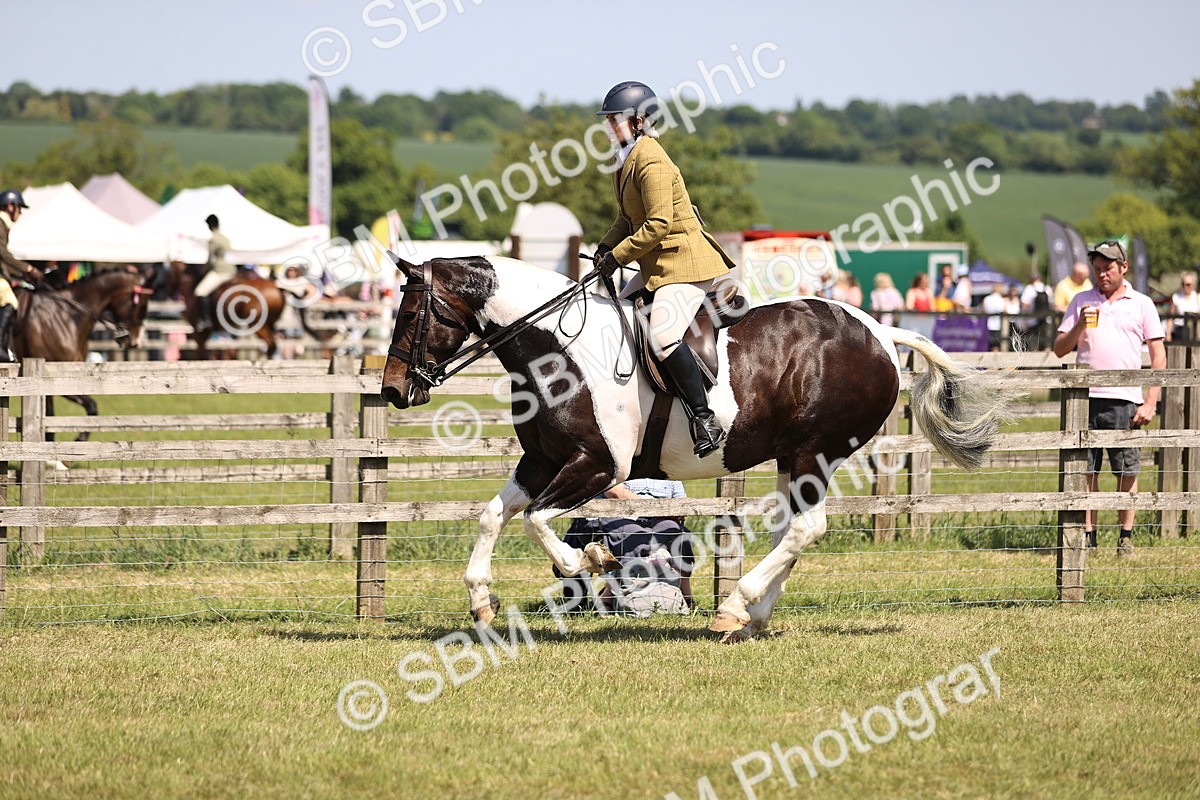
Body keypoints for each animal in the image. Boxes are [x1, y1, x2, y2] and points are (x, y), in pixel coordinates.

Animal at [13, 267, 154, 442]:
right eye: (140, 303)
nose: (135, 341)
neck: (65, 318)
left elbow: (90, 407)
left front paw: (79, 439)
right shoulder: (52, 381)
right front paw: (77, 439)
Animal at [167, 262, 332, 359]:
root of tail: (277, 287)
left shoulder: (199, 331)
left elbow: (201, 353)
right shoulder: (204, 333)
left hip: (258, 325)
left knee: (271, 344)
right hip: (270, 323)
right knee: (272, 345)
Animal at [380, 255, 1011, 641]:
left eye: (410, 314)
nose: (391, 391)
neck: (556, 348)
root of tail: (880, 331)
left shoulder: (596, 465)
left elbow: (538, 521)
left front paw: (592, 561)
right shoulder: (542, 460)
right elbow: (494, 516)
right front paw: (481, 602)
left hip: (817, 449)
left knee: (806, 528)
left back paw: (734, 607)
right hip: (792, 457)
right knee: (792, 530)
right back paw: (751, 617)